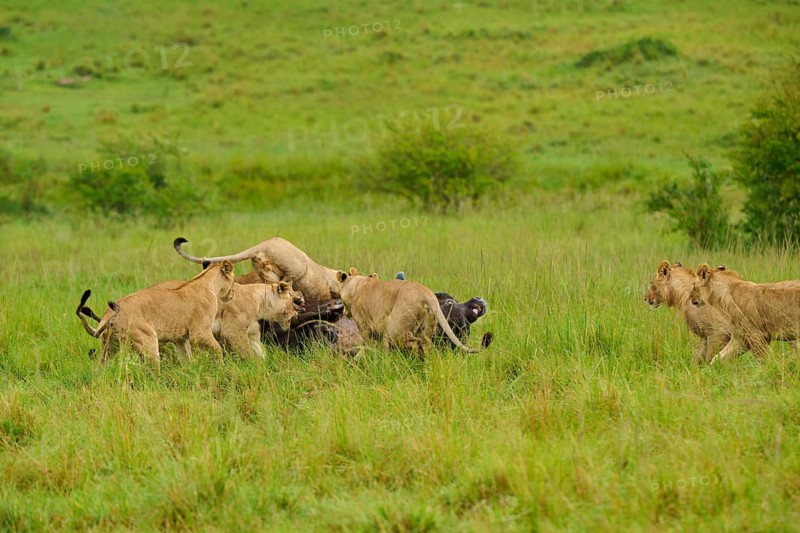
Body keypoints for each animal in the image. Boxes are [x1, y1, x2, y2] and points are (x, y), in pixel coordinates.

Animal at [76, 261, 235, 364]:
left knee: (99, 369)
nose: (232, 295)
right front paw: (221, 367)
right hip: (148, 340)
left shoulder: (180, 339)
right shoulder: (199, 333)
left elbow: (186, 359)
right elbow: (218, 350)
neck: (208, 282)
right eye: (234, 281)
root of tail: (108, 316)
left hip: (109, 347)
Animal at [174, 237, 341, 300]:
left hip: (266, 272)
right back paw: (298, 296)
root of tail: (264, 244)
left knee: (278, 284)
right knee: (286, 281)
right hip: (298, 267)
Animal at [338, 268, 484, 354]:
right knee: (426, 344)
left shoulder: (365, 327)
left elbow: (367, 346)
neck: (356, 284)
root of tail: (426, 292)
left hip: (395, 330)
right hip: (426, 328)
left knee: (414, 342)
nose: (344, 312)